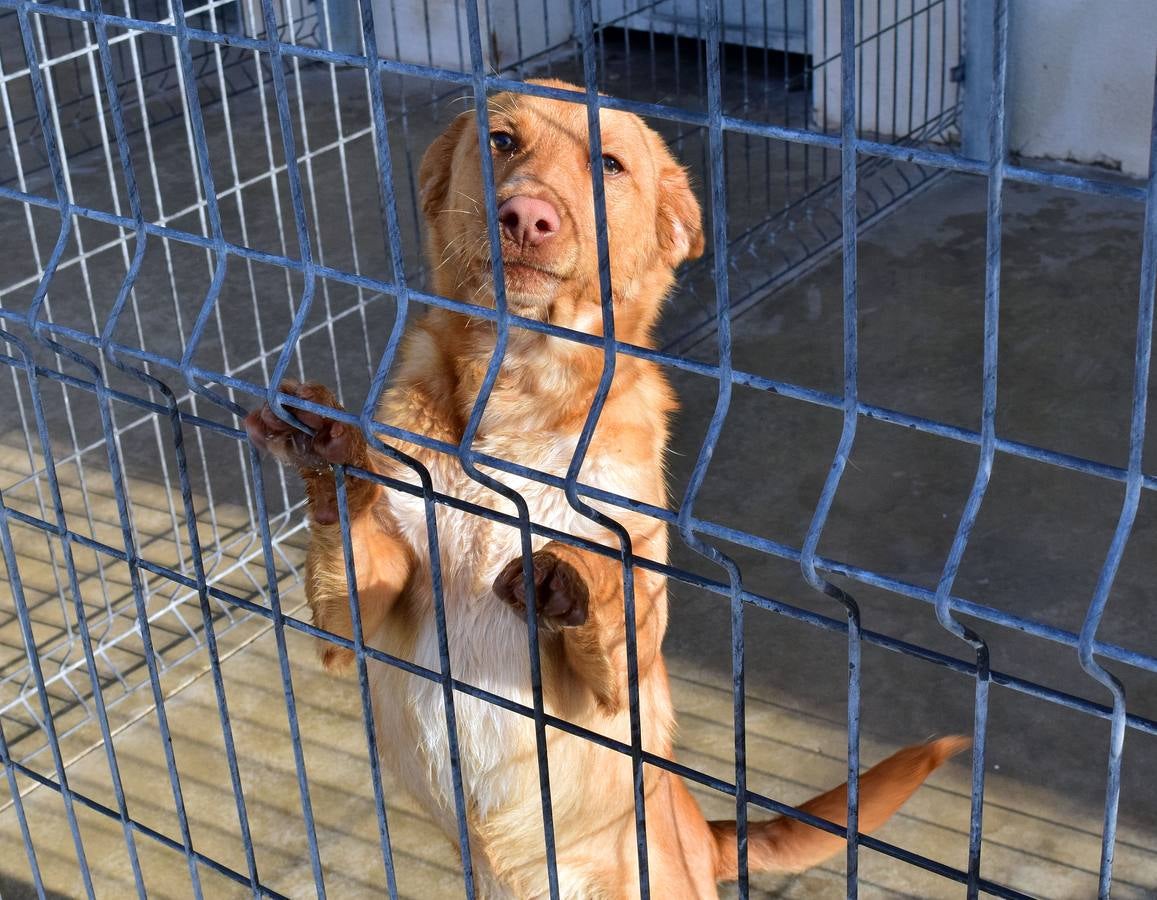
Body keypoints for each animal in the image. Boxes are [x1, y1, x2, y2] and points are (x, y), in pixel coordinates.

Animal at [246, 78, 967, 897]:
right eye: (501, 140)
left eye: (610, 165)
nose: (527, 216)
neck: (518, 388)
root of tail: (705, 833)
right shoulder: (359, 621)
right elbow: (351, 534)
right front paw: (325, 449)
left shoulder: (622, 671)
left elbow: (610, 598)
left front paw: (570, 579)